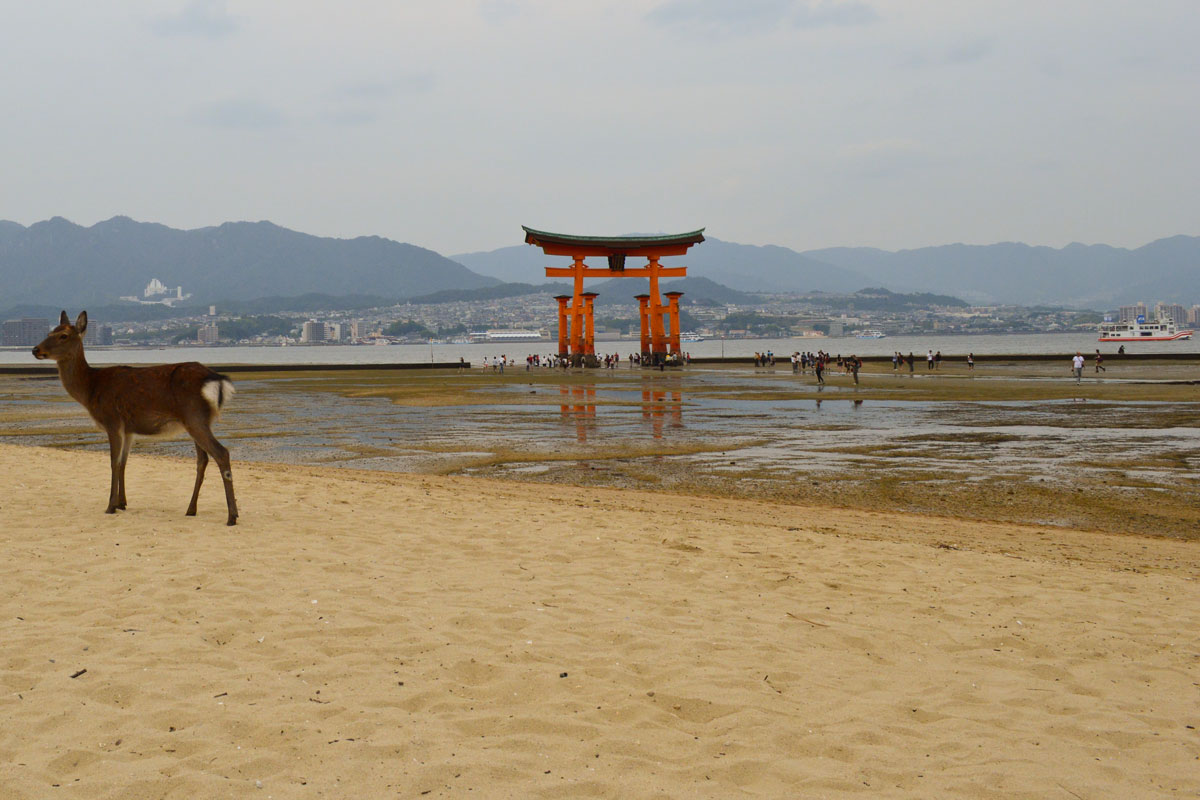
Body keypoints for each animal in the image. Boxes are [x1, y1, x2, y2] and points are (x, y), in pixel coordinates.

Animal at [33, 311, 239, 525]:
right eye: (49, 332)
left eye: (63, 335)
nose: (35, 349)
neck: (90, 390)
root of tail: (217, 380)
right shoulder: (129, 429)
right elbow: (124, 462)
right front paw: (122, 503)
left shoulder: (112, 421)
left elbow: (114, 462)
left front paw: (110, 506)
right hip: (198, 421)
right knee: (202, 459)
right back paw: (191, 509)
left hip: (194, 417)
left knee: (221, 453)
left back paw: (232, 516)